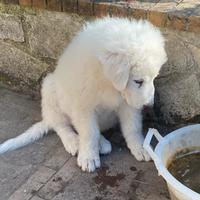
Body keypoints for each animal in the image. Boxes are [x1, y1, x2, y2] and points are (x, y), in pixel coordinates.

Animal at [0, 17, 167, 172]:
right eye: (138, 81)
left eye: (154, 78)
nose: (149, 105)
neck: (108, 82)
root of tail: (47, 118)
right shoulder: (83, 106)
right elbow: (89, 133)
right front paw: (88, 157)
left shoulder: (128, 103)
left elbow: (133, 127)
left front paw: (141, 147)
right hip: (50, 89)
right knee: (61, 125)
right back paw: (74, 142)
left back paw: (102, 143)